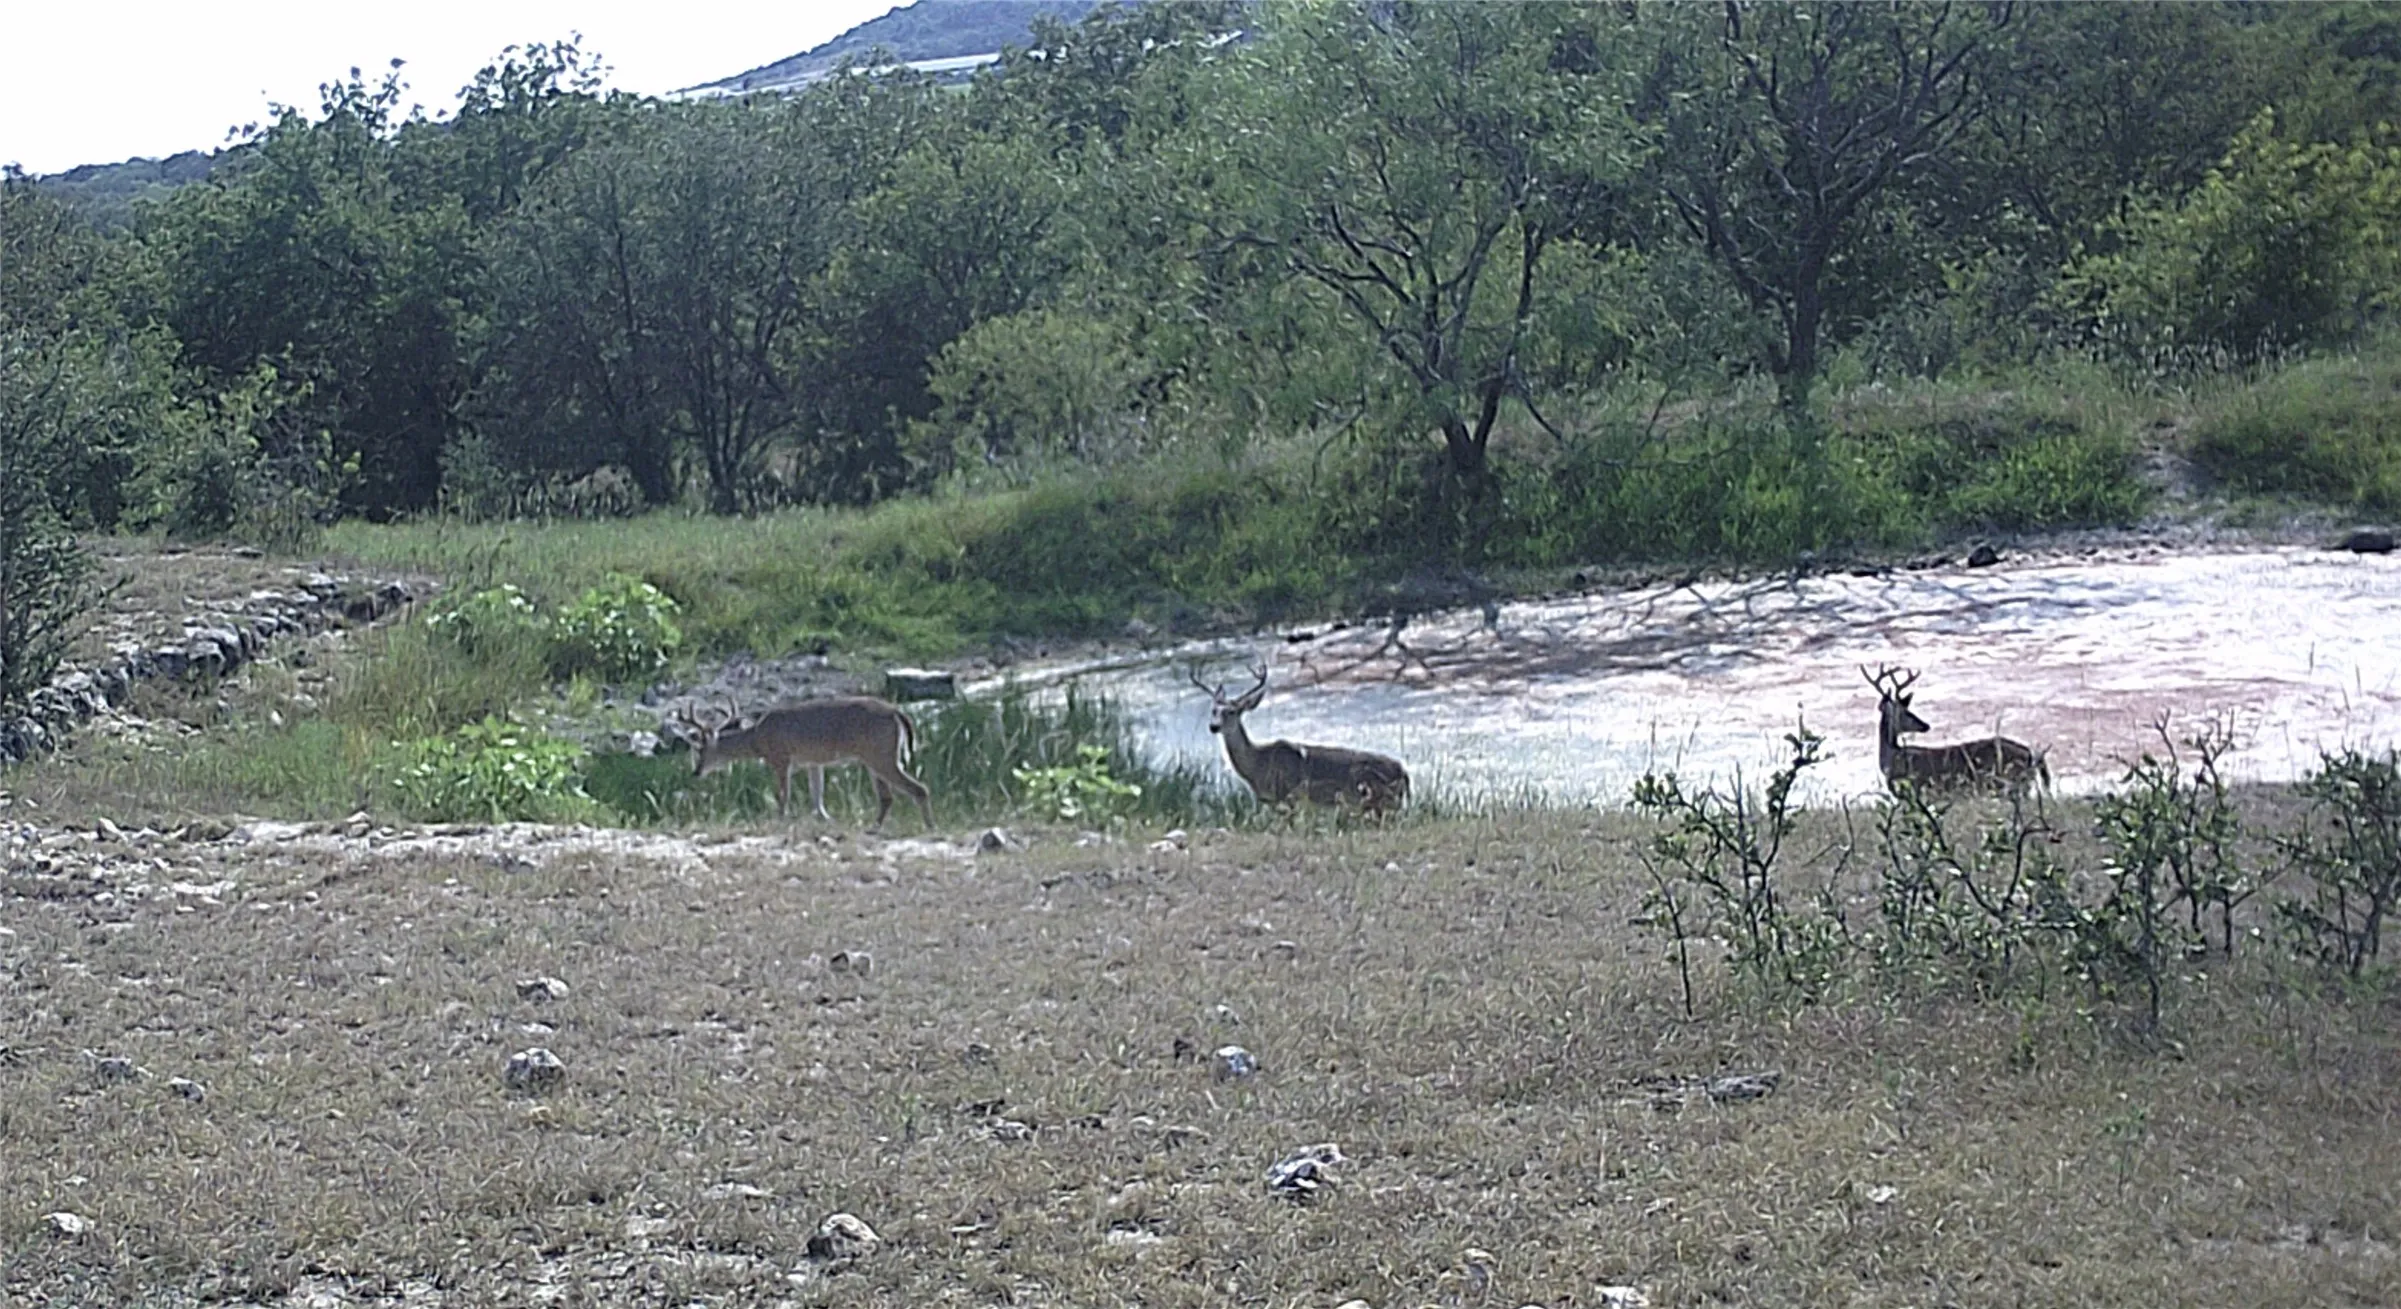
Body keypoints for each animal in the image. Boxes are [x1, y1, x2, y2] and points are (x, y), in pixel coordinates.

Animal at [680, 695, 934, 832]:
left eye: (700, 750)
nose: (696, 772)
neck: (758, 739)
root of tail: (897, 712)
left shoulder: (781, 758)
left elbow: (783, 796)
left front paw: (780, 821)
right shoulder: (814, 762)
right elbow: (817, 799)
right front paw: (826, 821)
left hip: (881, 755)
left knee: (919, 789)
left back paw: (930, 828)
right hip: (875, 759)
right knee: (887, 797)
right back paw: (873, 827)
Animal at [1190, 662, 1410, 814]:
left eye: (1232, 711)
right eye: (1214, 710)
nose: (1213, 726)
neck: (1258, 764)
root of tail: (1404, 772)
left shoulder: (1289, 795)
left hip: (1375, 794)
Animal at [1863, 665, 2049, 796]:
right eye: (1905, 712)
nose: (1925, 725)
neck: (1892, 759)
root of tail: (2030, 753)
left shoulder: (1917, 790)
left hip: (2012, 783)